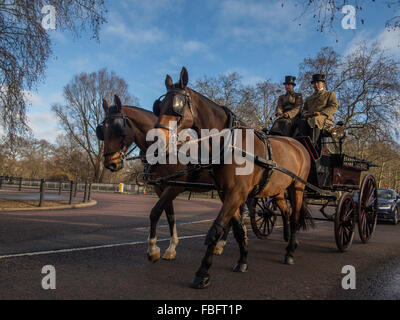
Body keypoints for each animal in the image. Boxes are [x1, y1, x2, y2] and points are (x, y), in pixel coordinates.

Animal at [98, 94, 238, 262]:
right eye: (102, 130)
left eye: (119, 128)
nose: (110, 163)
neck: (165, 150)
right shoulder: (161, 187)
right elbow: (170, 216)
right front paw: (171, 248)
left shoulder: (174, 187)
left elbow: (155, 212)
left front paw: (152, 250)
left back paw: (220, 244)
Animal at [152, 66, 312, 288]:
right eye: (159, 106)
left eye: (177, 106)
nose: (157, 140)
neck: (229, 143)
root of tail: (298, 144)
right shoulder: (226, 193)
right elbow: (238, 230)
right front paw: (242, 261)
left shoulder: (236, 194)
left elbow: (215, 230)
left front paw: (202, 273)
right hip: (278, 190)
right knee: (286, 212)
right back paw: (287, 238)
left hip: (297, 188)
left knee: (295, 215)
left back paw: (290, 251)